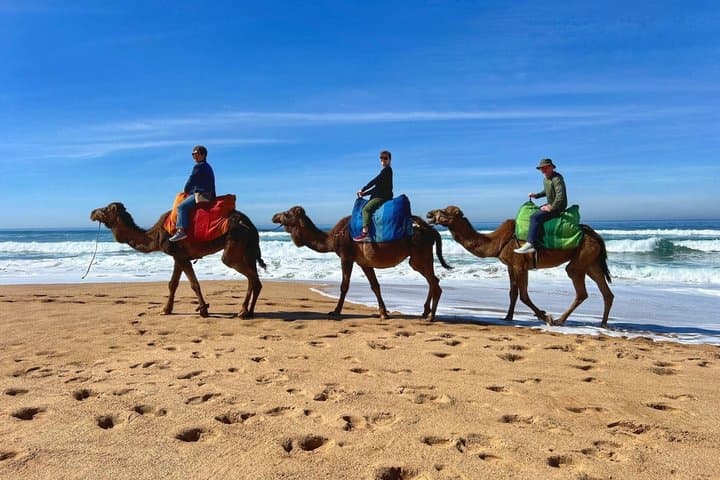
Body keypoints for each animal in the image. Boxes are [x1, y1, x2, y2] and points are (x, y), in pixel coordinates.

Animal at [90, 202, 265, 318]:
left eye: (105, 209)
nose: (92, 212)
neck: (155, 235)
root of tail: (251, 224)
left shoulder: (180, 255)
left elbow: (193, 284)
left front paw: (203, 311)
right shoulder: (179, 256)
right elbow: (172, 284)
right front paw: (166, 310)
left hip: (235, 242)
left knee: (247, 274)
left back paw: (243, 311)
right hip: (248, 249)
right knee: (255, 278)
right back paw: (249, 311)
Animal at [272, 206, 451, 321]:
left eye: (287, 213)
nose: (274, 216)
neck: (332, 238)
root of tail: (432, 230)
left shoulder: (346, 257)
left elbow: (344, 286)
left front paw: (335, 311)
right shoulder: (363, 262)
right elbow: (375, 286)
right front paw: (383, 313)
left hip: (420, 254)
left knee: (434, 282)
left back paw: (431, 317)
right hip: (418, 258)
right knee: (433, 280)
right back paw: (425, 312)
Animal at [426, 206, 614, 327]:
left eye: (444, 211)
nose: (429, 214)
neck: (497, 242)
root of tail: (596, 236)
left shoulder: (520, 265)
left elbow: (523, 295)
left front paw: (545, 317)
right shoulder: (511, 266)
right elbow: (513, 293)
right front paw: (508, 317)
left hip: (581, 259)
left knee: (580, 288)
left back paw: (559, 320)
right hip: (591, 262)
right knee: (606, 292)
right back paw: (603, 323)